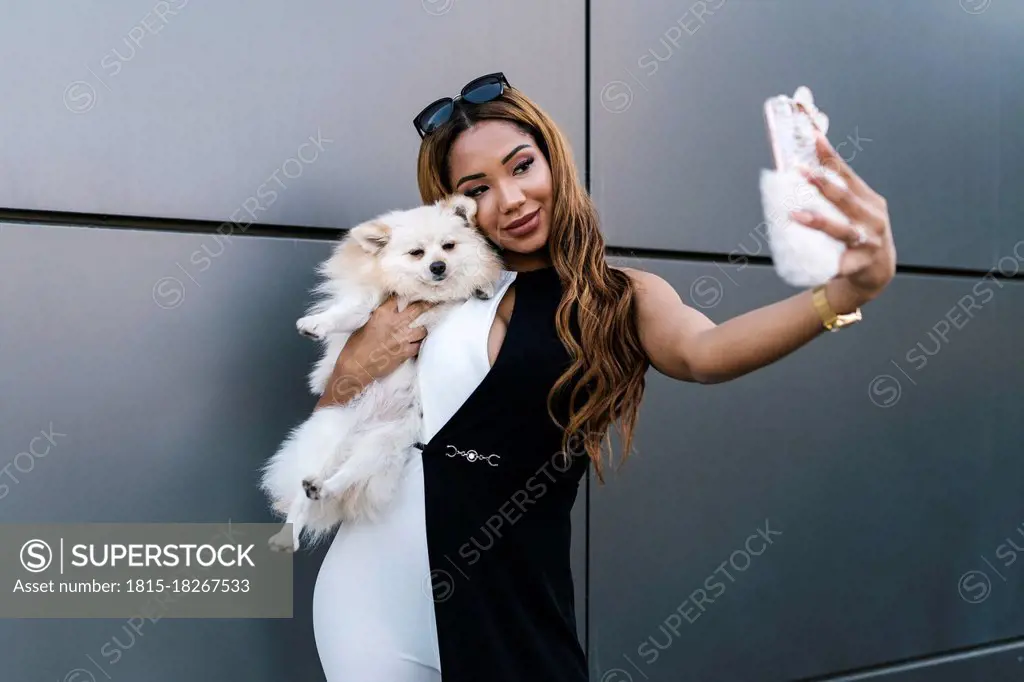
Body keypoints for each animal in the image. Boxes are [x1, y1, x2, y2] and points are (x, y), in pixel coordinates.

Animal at [258, 193, 501, 548]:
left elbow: (465, 288)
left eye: (448, 246)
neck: (418, 295)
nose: (438, 266)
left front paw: (482, 287)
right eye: (417, 253)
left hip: (382, 446)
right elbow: (349, 313)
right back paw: (288, 534)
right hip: (330, 439)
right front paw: (316, 324)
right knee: (303, 500)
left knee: (345, 476)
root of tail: (360, 431)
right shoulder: (370, 309)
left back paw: (323, 488)